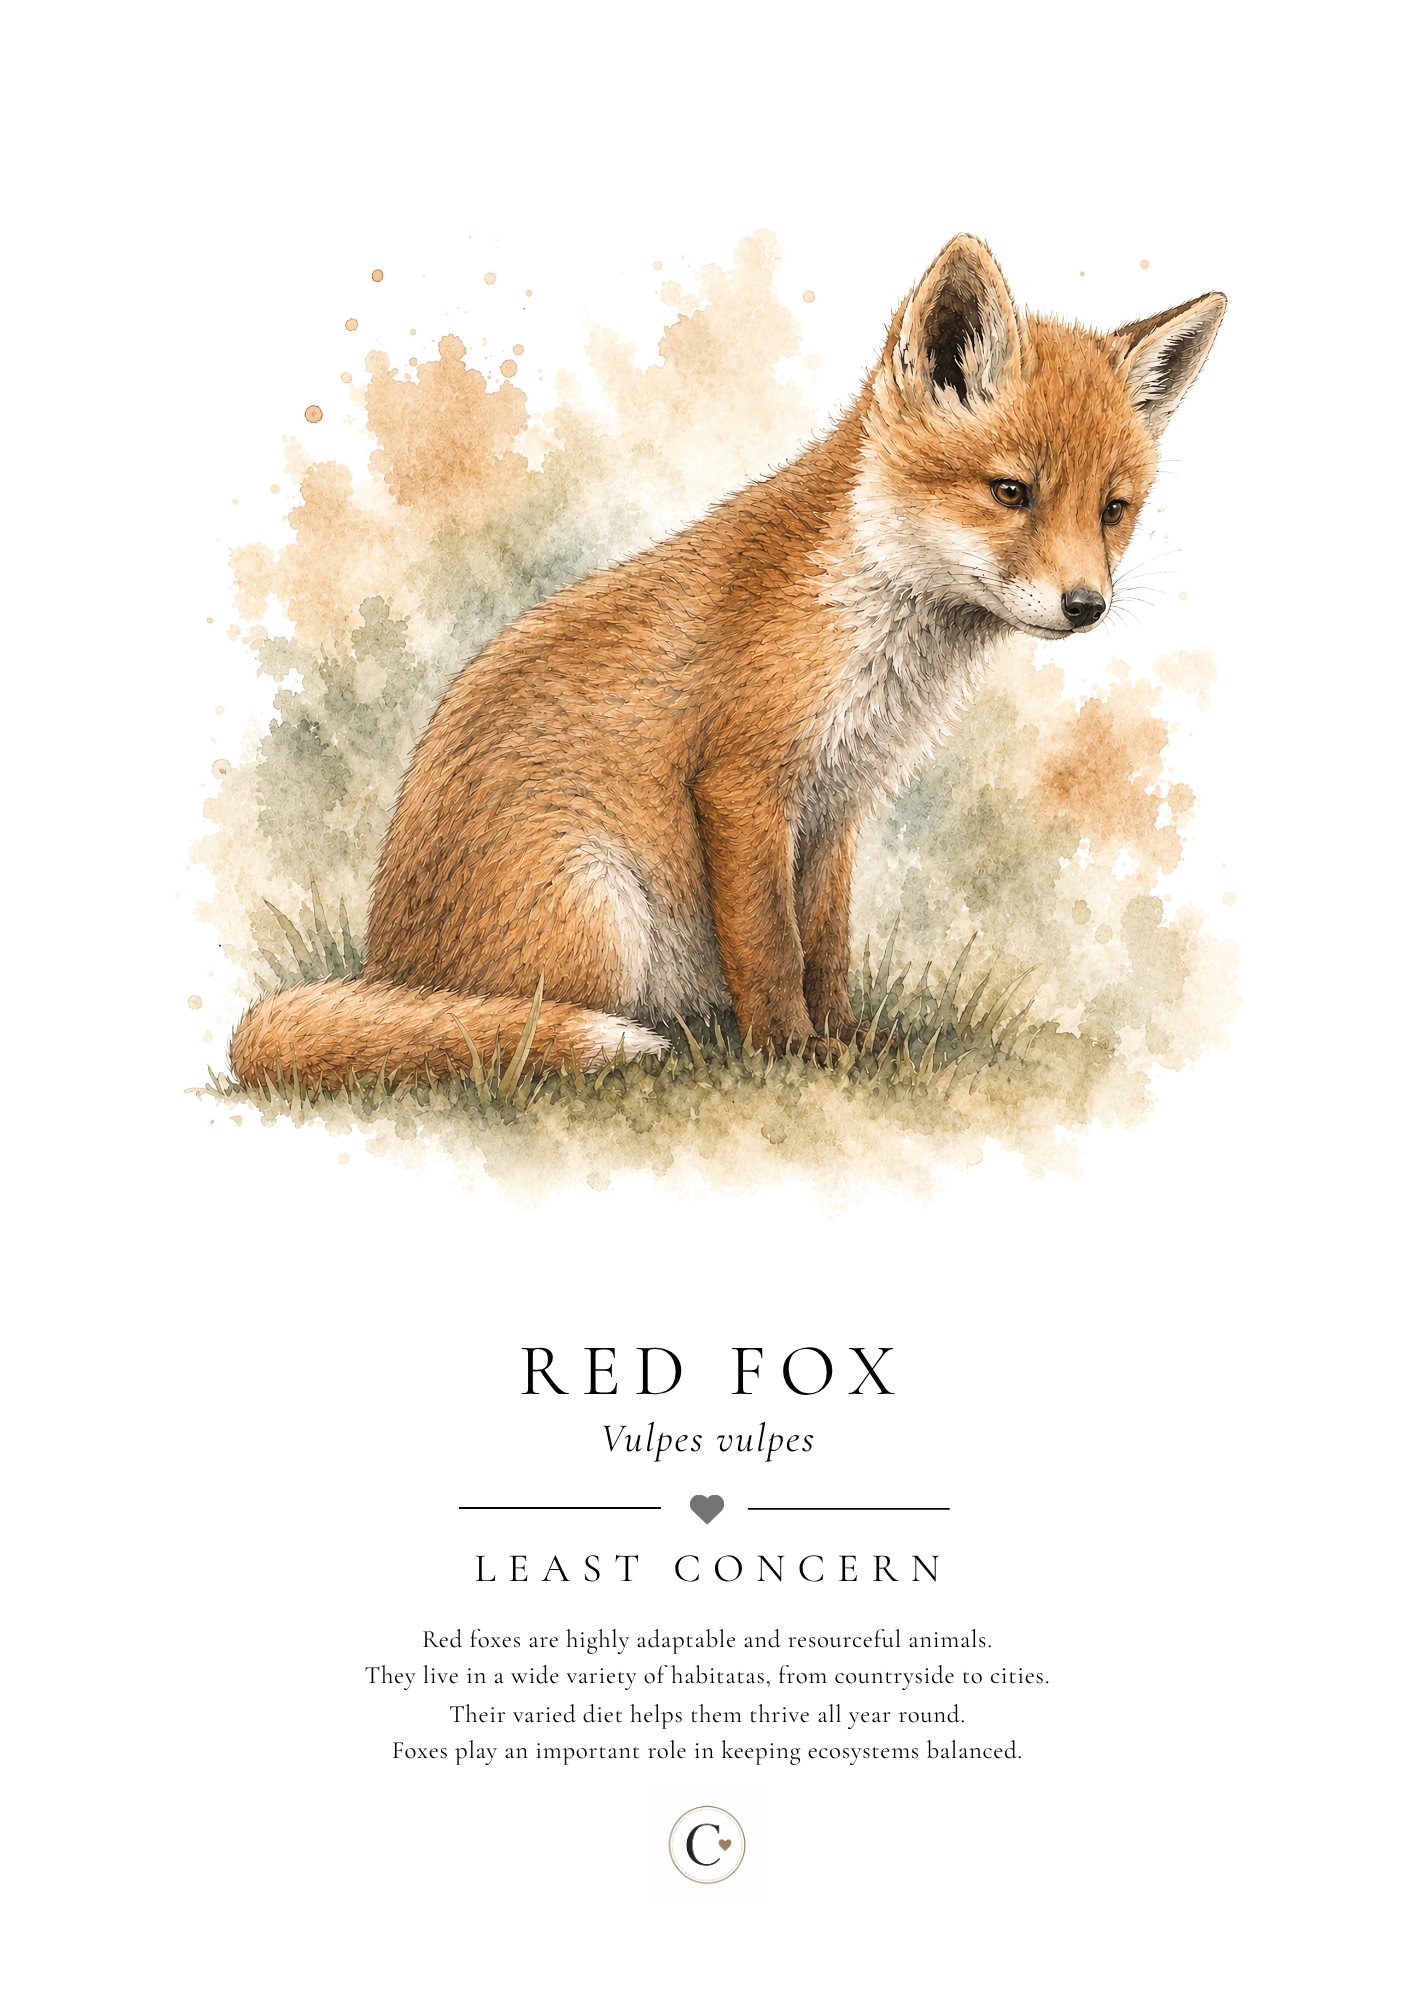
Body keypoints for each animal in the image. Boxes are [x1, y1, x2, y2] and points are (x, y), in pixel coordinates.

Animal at [229, 235, 1224, 1090]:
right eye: (1011, 492)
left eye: (1113, 509)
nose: (1086, 606)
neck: (874, 628)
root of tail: (383, 964)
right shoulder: (743, 786)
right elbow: (771, 948)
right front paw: (790, 1054)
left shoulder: (834, 807)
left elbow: (825, 948)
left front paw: (848, 1041)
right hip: (600, 911)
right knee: (505, 1042)